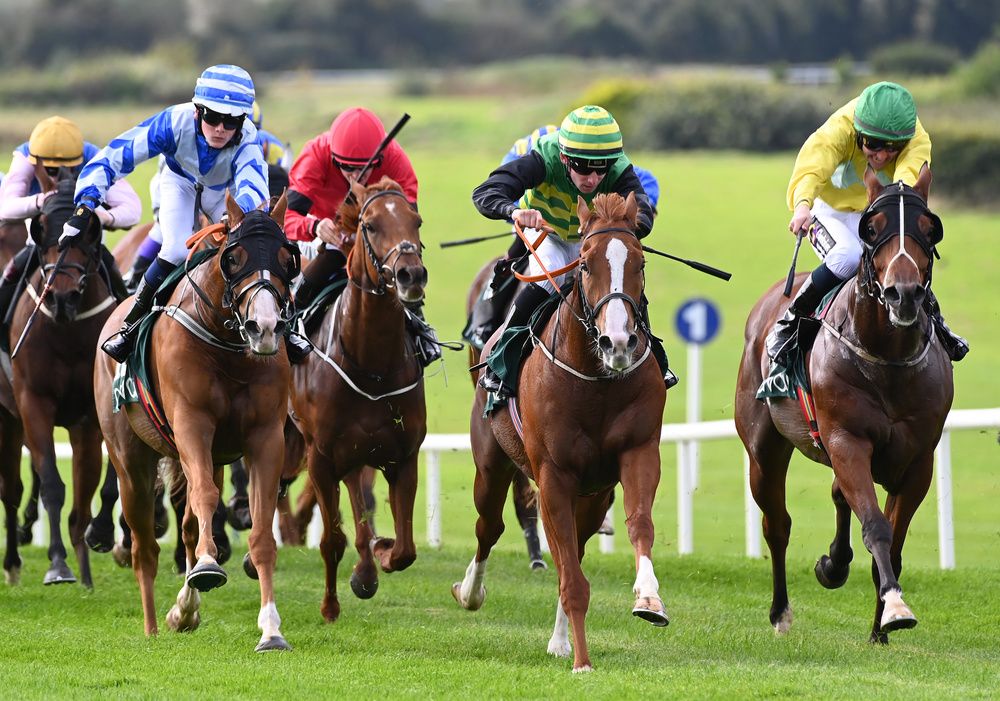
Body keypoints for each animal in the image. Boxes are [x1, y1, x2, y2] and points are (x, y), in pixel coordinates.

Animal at [0, 180, 114, 584]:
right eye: (44, 236)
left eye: (87, 241)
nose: (62, 298)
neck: (68, 334)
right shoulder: (33, 401)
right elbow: (51, 481)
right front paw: (57, 563)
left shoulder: (90, 417)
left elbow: (88, 490)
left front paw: (91, 555)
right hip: (8, 418)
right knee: (10, 489)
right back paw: (13, 563)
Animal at [95, 193, 298, 652]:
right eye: (234, 257)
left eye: (286, 258)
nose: (264, 328)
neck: (227, 347)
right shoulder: (191, 424)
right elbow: (205, 496)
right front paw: (207, 565)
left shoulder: (265, 438)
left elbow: (262, 534)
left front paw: (271, 629)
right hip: (130, 460)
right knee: (145, 547)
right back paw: (154, 625)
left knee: (187, 526)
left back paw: (184, 610)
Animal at [290, 178, 430, 620]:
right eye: (369, 225)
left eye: (416, 220)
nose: (410, 274)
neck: (371, 364)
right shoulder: (320, 456)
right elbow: (331, 540)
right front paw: (329, 606)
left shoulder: (402, 456)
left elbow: (404, 549)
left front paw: (379, 556)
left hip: (356, 453)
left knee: (357, 497)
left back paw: (367, 567)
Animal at [454, 191, 672, 672]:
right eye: (586, 265)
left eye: (640, 262)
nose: (618, 342)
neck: (595, 380)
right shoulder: (553, 473)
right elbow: (568, 571)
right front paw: (583, 662)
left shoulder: (638, 451)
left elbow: (639, 524)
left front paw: (649, 599)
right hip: (493, 464)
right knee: (489, 526)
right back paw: (470, 591)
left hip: (593, 495)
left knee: (572, 547)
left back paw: (559, 640)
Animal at [736, 167, 952, 644]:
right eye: (872, 228)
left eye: (929, 228)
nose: (903, 294)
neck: (887, 358)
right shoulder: (847, 440)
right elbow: (876, 527)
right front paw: (895, 608)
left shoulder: (917, 461)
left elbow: (893, 541)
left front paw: (881, 627)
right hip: (764, 449)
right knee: (777, 524)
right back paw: (781, 611)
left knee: (837, 494)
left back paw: (833, 564)